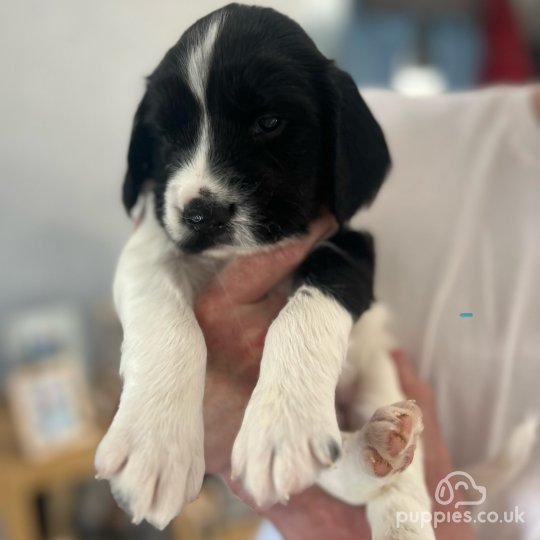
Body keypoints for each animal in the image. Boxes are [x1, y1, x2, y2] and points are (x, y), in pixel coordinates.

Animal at [96, 5, 434, 540]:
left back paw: (390, 479)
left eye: (269, 122)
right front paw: (155, 444)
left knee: (380, 474)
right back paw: (371, 449)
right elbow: (164, 320)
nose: (201, 215)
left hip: (378, 366)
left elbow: (305, 312)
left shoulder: (352, 247)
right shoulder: (150, 244)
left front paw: (283, 424)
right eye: (166, 135)